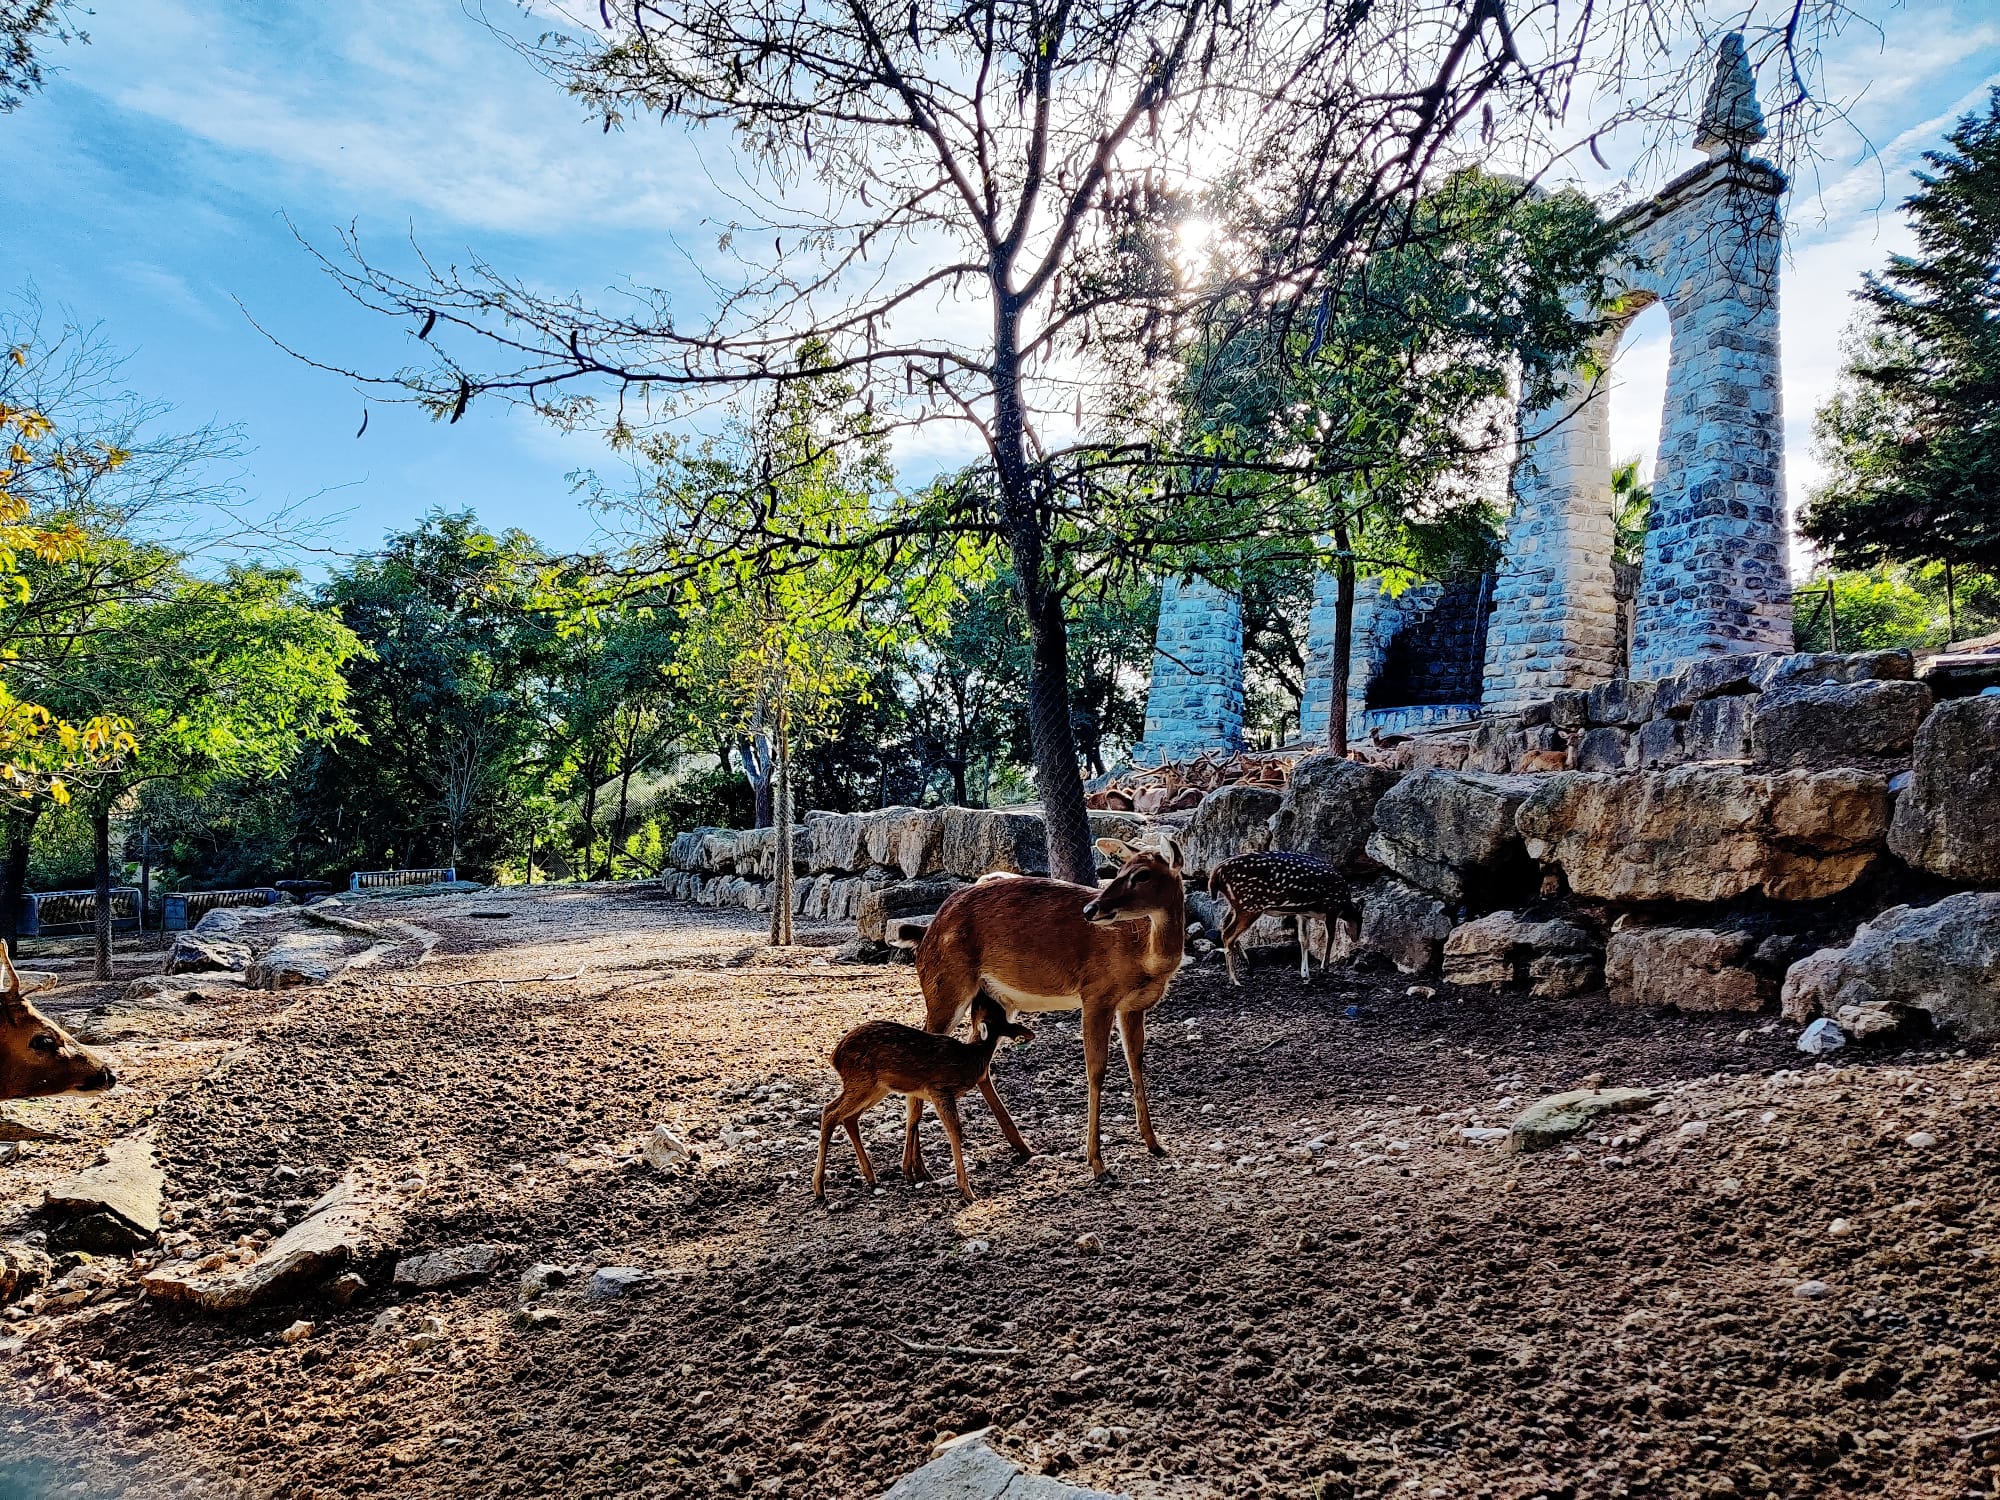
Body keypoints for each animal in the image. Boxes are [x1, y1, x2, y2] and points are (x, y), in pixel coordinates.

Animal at [812, 992, 1032, 1208]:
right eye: (984, 1006)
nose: (981, 995)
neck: (971, 1058)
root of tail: (834, 1057)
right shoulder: (939, 1088)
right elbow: (954, 1130)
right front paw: (967, 1191)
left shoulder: (929, 1092)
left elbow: (918, 1120)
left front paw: (913, 1174)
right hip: (862, 1082)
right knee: (830, 1112)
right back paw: (820, 1189)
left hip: (875, 1087)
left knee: (848, 1117)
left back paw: (870, 1178)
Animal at [912, 840, 1184, 1184]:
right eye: (1120, 870)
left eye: (1143, 874)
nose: (1090, 910)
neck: (1144, 958)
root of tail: (927, 933)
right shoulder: (1097, 994)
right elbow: (1096, 1070)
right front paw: (1097, 1163)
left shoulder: (1133, 1006)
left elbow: (1136, 1063)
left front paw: (1154, 1143)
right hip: (945, 987)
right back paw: (915, 1167)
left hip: (997, 999)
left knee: (979, 1056)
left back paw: (1022, 1147)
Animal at [1200, 852, 1360, 992]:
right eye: (1361, 919)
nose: (1356, 937)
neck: (1344, 906)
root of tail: (1215, 874)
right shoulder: (1331, 909)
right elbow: (1330, 937)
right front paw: (1323, 969)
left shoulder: (1303, 914)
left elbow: (1304, 940)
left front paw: (1305, 974)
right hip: (1249, 905)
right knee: (1228, 934)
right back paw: (1235, 979)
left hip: (1236, 905)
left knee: (1223, 924)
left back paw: (1245, 966)